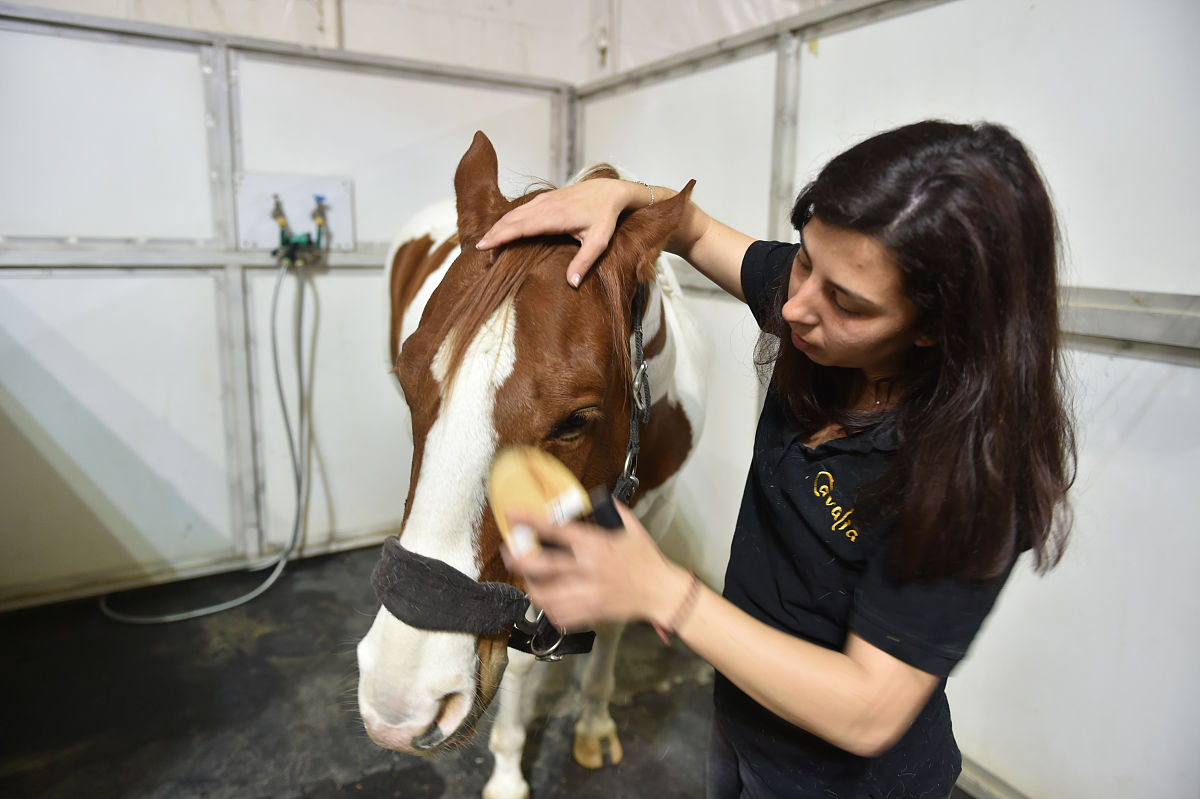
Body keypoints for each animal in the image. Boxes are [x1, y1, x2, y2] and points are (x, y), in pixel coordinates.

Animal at [355, 131, 707, 799]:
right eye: (411, 379)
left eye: (576, 419)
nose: (399, 699)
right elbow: (520, 660)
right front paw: (509, 771)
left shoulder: (654, 514)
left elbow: (617, 618)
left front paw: (592, 723)